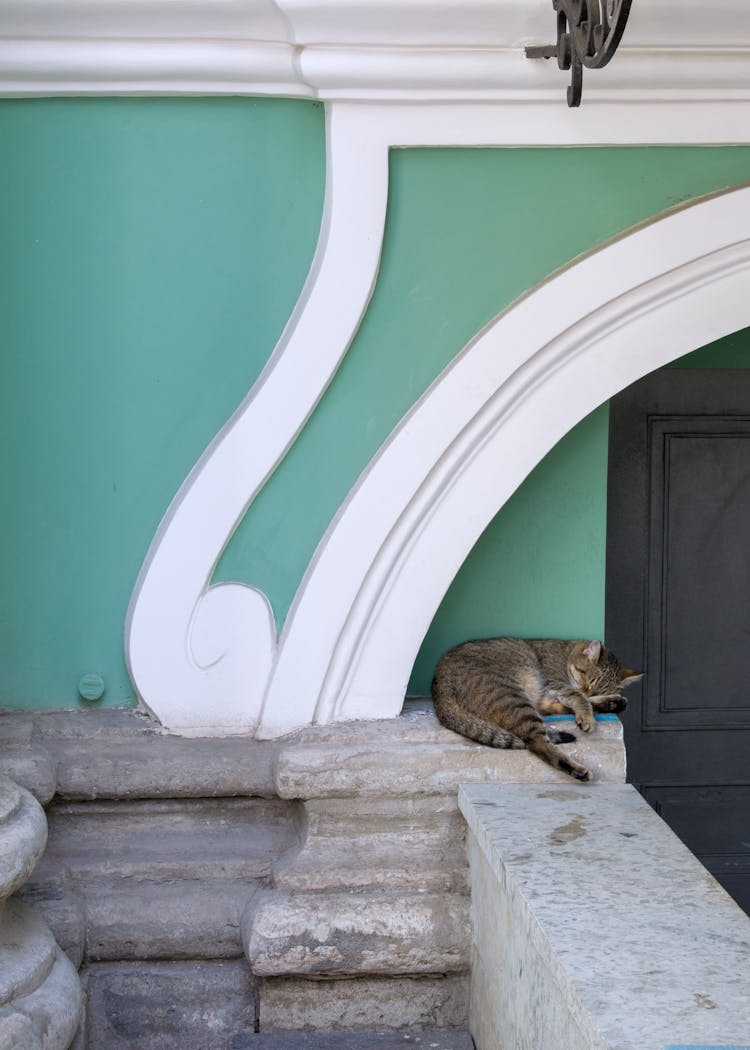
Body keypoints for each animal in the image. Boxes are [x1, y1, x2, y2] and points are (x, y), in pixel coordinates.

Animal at [428, 634, 638, 785]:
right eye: (589, 680)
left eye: (599, 687)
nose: (588, 690)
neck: (566, 654)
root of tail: (438, 685)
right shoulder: (554, 682)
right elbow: (580, 697)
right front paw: (587, 715)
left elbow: (582, 699)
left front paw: (602, 702)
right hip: (514, 699)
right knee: (537, 742)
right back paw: (577, 770)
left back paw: (612, 704)